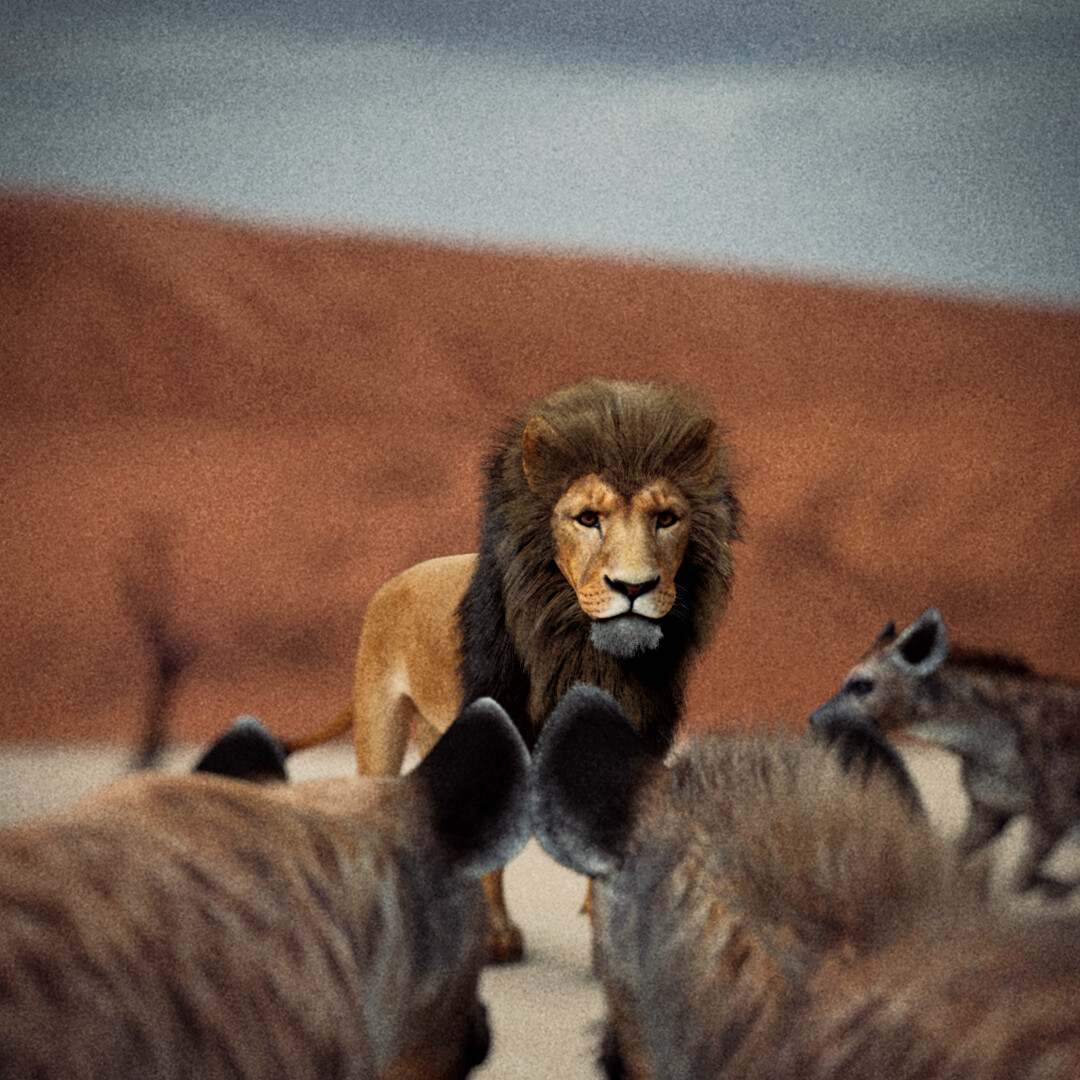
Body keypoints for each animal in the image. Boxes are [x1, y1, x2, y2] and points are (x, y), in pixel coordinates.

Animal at [285, 378, 740, 961]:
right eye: (587, 518)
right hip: (380, 719)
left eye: (666, 518)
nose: (633, 586)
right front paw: (496, 938)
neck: (584, 652)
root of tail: (396, 579)